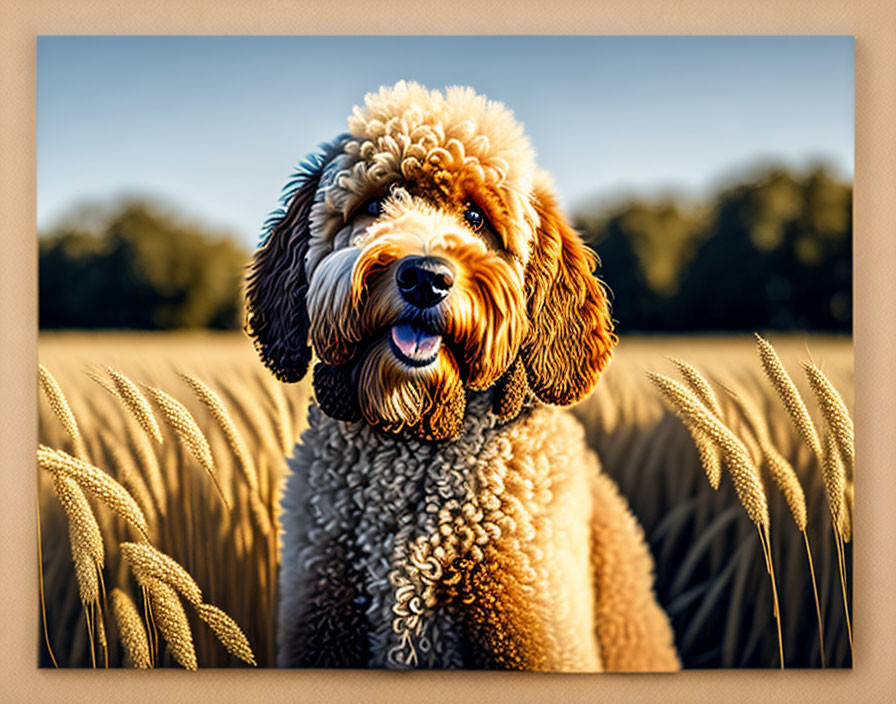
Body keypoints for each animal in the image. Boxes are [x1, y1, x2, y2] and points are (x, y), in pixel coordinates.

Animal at [245, 82, 680, 672]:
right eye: (374, 205)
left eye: (476, 215)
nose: (425, 278)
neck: (416, 442)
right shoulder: (319, 624)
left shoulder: (536, 637)